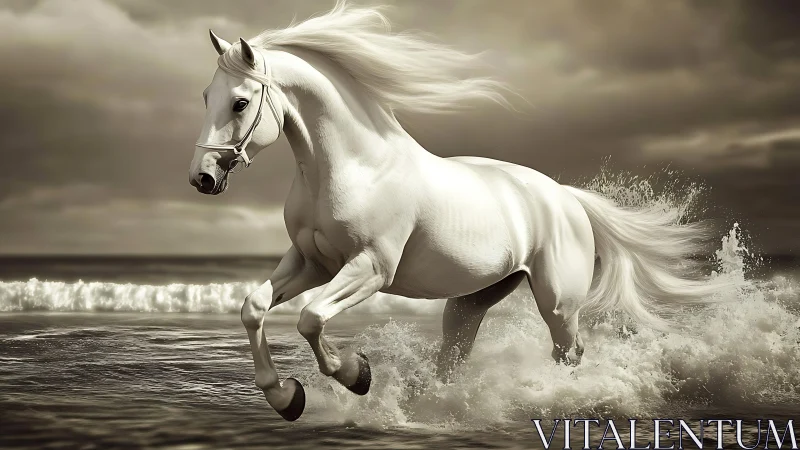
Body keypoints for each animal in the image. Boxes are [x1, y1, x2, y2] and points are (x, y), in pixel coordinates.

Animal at [188, 1, 720, 422]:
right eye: (205, 97)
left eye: (240, 103)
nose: (202, 178)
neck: (356, 166)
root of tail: (567, 198)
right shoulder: (312, 262)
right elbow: (254, 307)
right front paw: (286, 398)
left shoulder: (370, 269)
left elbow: (311, 319)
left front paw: (356, 374)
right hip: (471, 301)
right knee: (455, 355)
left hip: (558, 302)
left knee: (568, 351)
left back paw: (559, 401)